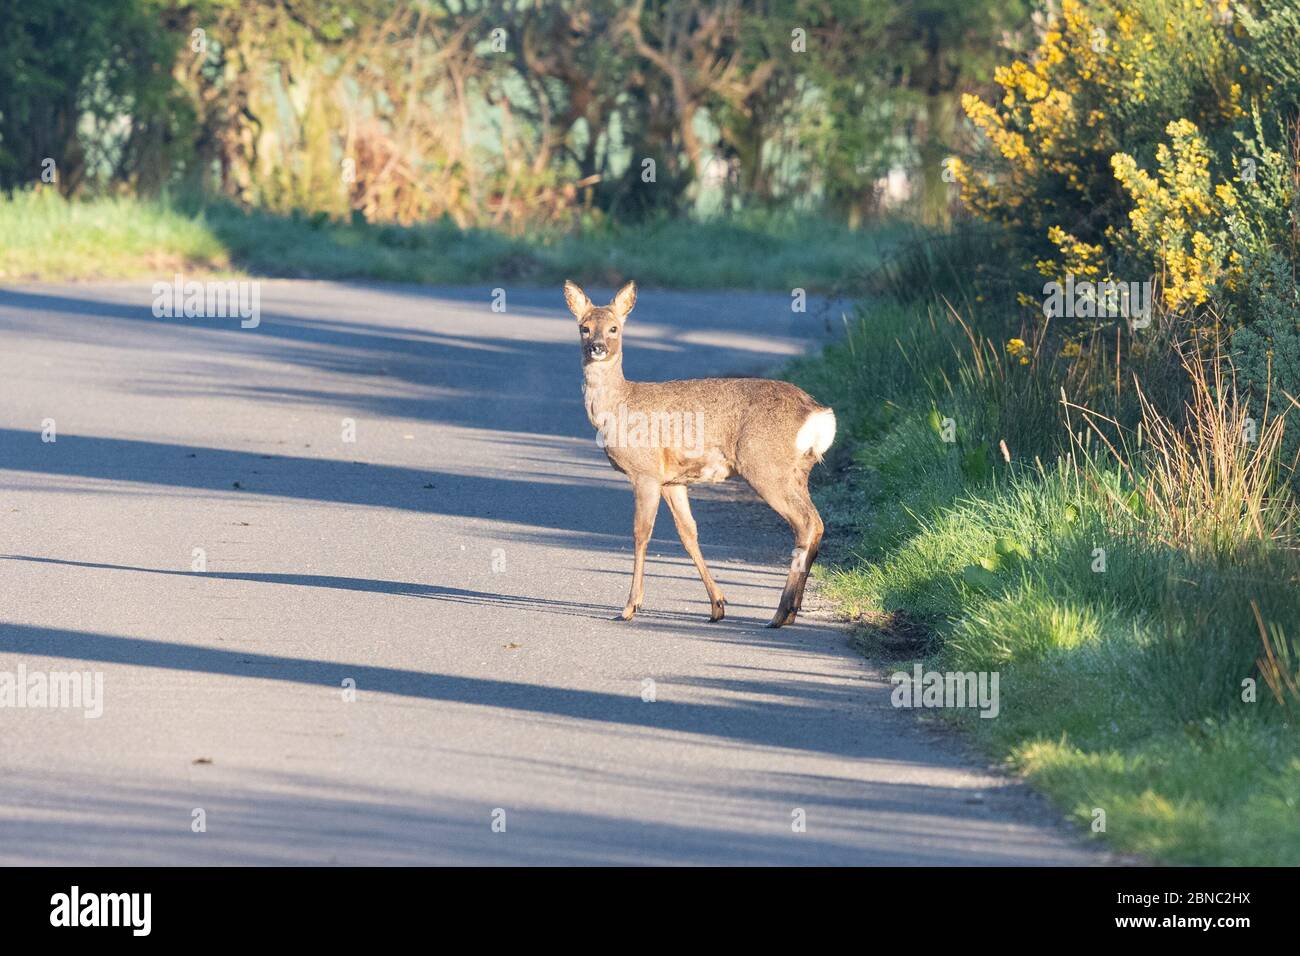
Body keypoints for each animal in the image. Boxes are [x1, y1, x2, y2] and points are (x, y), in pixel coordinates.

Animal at [565, 279, 835, 629]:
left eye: (614, 328)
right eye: (583, 327)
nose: (596, 347)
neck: (619, 405)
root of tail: (817, 413)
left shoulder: (645, 472)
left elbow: (641, 533)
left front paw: (629, 607)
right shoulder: (673, 481)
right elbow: (688, 534)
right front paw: (717, 605)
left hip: (766, 466)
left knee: (806, 523)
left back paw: (778, 615)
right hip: (797, 471)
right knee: (815, 524)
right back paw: (789, 612)